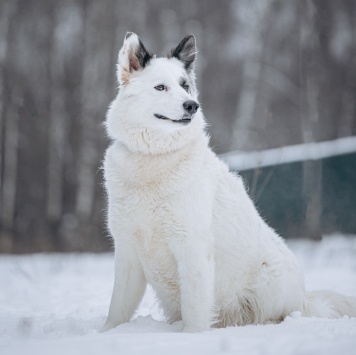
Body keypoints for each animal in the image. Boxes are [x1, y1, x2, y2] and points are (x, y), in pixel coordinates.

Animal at [101, 32, 356, 332]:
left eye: (185, 86)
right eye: (160, 87)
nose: (192, 105)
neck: (154, 159)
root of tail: (305, 298)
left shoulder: (192, 248)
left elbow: (195, 309)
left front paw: (191, 336)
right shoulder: (127, 251)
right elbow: (117, 309)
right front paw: (104, 333)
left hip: (268, 280)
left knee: (283, 315)